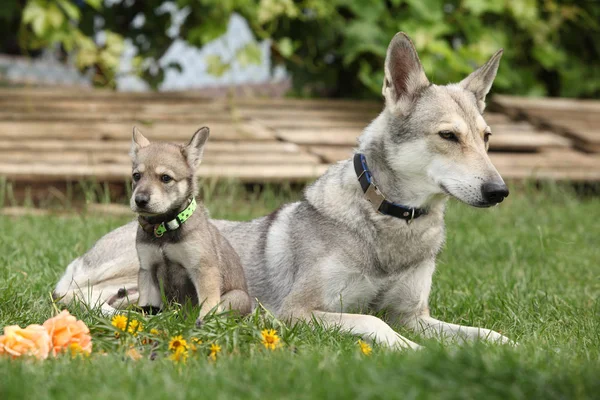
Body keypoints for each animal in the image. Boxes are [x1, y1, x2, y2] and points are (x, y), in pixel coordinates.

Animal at [56, 32, 512, 348]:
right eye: (449, 136)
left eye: (487, 137)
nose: (499, 191)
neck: (390, 221)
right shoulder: (299, 311)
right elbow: (374, 321)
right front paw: (410, 350)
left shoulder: (415, 315)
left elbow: (482, 333)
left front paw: (506, 348)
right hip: (129, 272)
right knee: (78, 296)